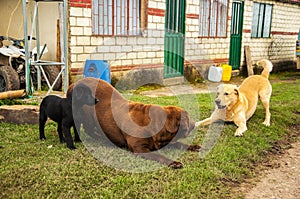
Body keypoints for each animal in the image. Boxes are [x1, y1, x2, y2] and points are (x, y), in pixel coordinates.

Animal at [67, 77, 199, 168]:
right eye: (188, 118)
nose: (194, 124)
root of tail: (73, 84)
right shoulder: (139, 148)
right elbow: (159, 156)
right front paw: (174, 162)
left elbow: (180, 144)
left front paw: (194, 146)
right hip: (87, 115)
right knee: (88, 130)